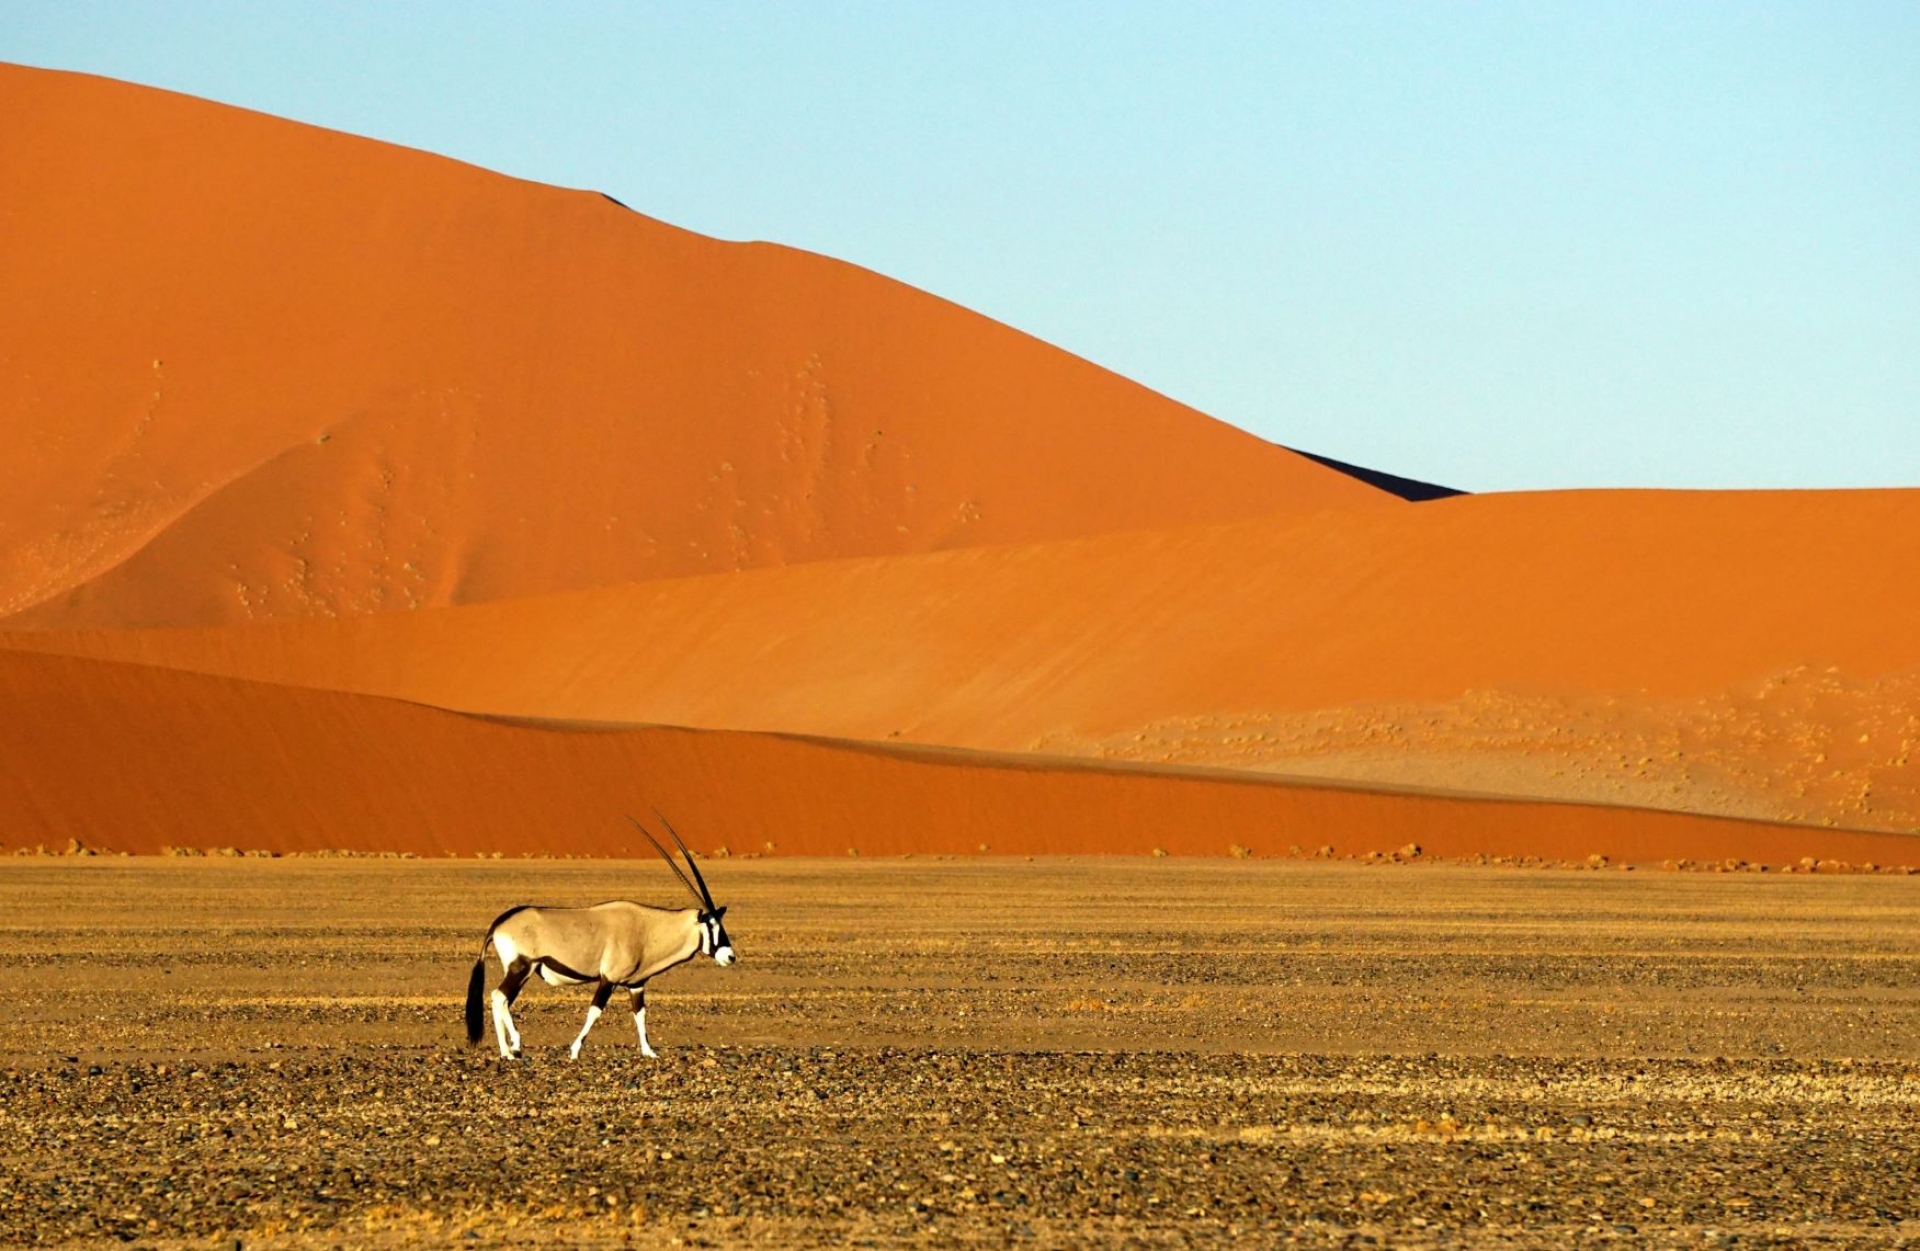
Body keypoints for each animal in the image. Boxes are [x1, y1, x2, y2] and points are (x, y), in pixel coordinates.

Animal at [464, 817, 733, 1059]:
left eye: (722, 924)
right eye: (711, 925)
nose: (730, 956)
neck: (647, 928)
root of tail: (500, 923)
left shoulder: (636, 984)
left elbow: (640, 1014)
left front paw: (649, 1052)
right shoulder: (608, 978)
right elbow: (595, 1011)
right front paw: (574, 1051)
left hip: (522, 971)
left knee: (502, 1001)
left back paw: (511, 1049)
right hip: (522, 967)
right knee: (499, 997)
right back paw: (510, 1049)